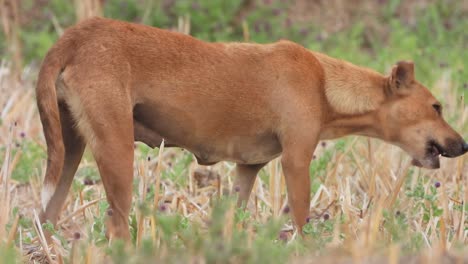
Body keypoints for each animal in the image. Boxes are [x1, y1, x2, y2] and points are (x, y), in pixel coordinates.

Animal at [35, 17, 464, 241]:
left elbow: (232, 218)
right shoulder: (296, 161)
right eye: (437, 107)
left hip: (70, 153)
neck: (325, 85)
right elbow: (301, 218)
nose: (463, 145)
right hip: (117, 152)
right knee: (115, 225)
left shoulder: (247, 168)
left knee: (45, 217)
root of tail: (75, 35)